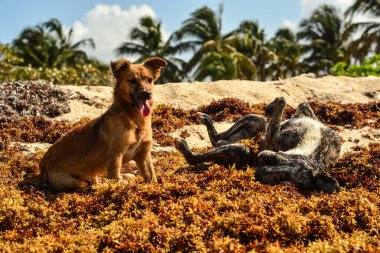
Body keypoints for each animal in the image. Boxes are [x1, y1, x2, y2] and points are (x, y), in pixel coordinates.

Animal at [31, 57, 168, 192]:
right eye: (132, 81)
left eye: (149, 80)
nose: (147, 93)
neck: (134, 120)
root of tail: (42, 170)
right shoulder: (115, 155)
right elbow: (116, 179)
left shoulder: (144, 155)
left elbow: (152, 178)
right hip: (72, 181)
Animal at [175, 97, 342, 192]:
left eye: (281, 178)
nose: (259, 170)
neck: (316, 148)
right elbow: (301, 105)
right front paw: (272, 105)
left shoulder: (271, 142)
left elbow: (282, 105)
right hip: (254, 122)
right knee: (220, 137)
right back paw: (206, 120)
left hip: (238, 150)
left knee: (196, 157)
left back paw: (183, 145)